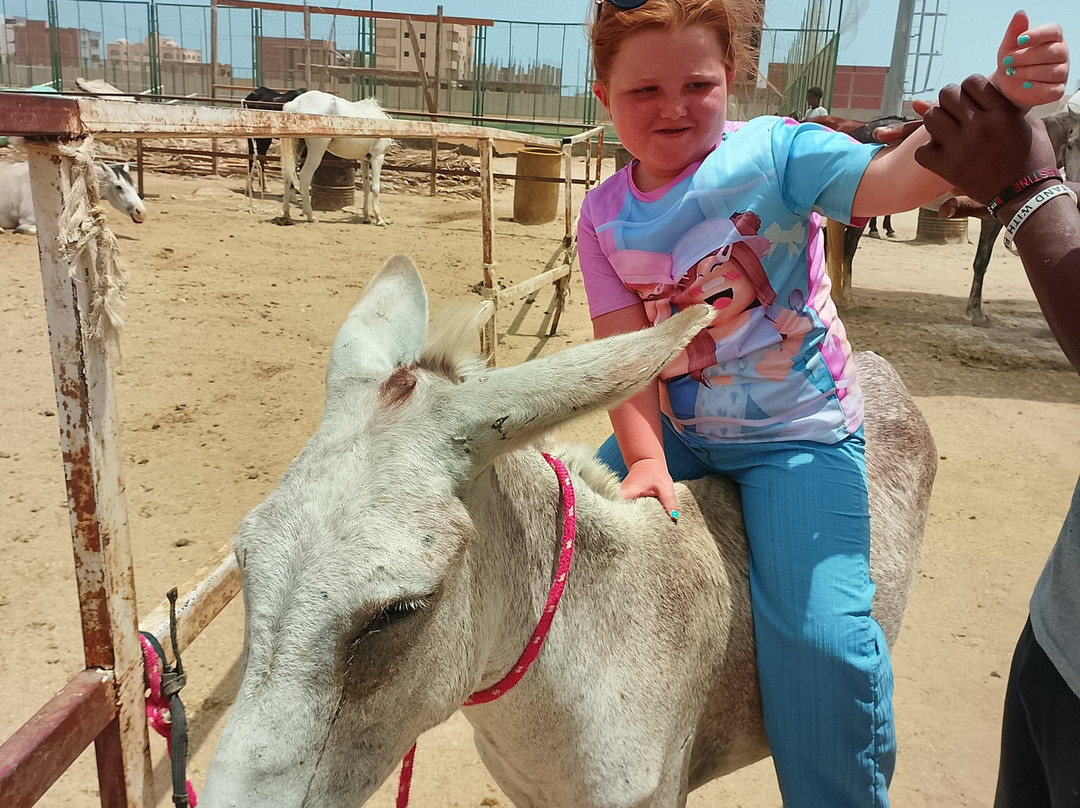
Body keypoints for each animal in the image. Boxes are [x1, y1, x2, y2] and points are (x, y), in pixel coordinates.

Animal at [280, 90, 393, 226]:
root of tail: (298, 102)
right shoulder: (377, 157)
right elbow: (375, 187)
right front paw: (379, 219)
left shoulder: (364, 160)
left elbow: (366, 187)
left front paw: (366, 217)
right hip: (316, 151)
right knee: (305, 176)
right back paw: (310, 216)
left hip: (296, 149)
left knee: (288, 175)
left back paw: (286, 215)